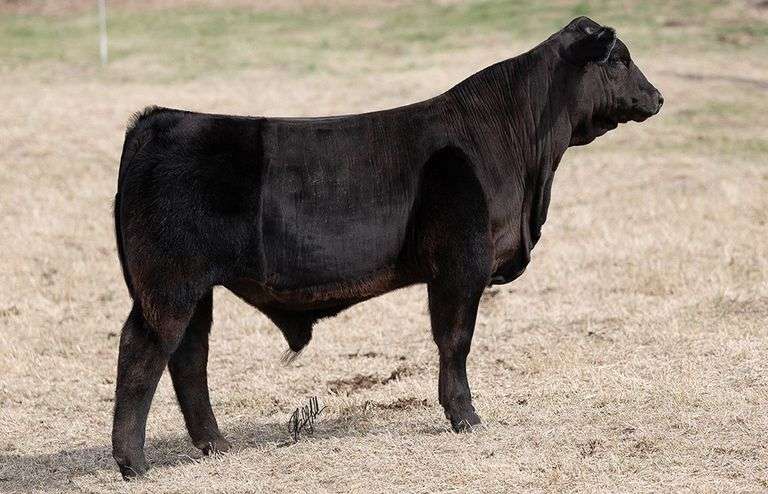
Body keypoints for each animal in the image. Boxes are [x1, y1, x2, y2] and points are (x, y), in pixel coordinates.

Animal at [111, 16, 662, 478]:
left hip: (193, 289)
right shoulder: (463, 263)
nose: (656, 97)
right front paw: (465, 417)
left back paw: (215, 445)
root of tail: (158, 119)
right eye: (619, 58)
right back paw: (133, 463)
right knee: (143, 352)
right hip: (169, 285)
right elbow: (455, 340)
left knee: (189, 356)